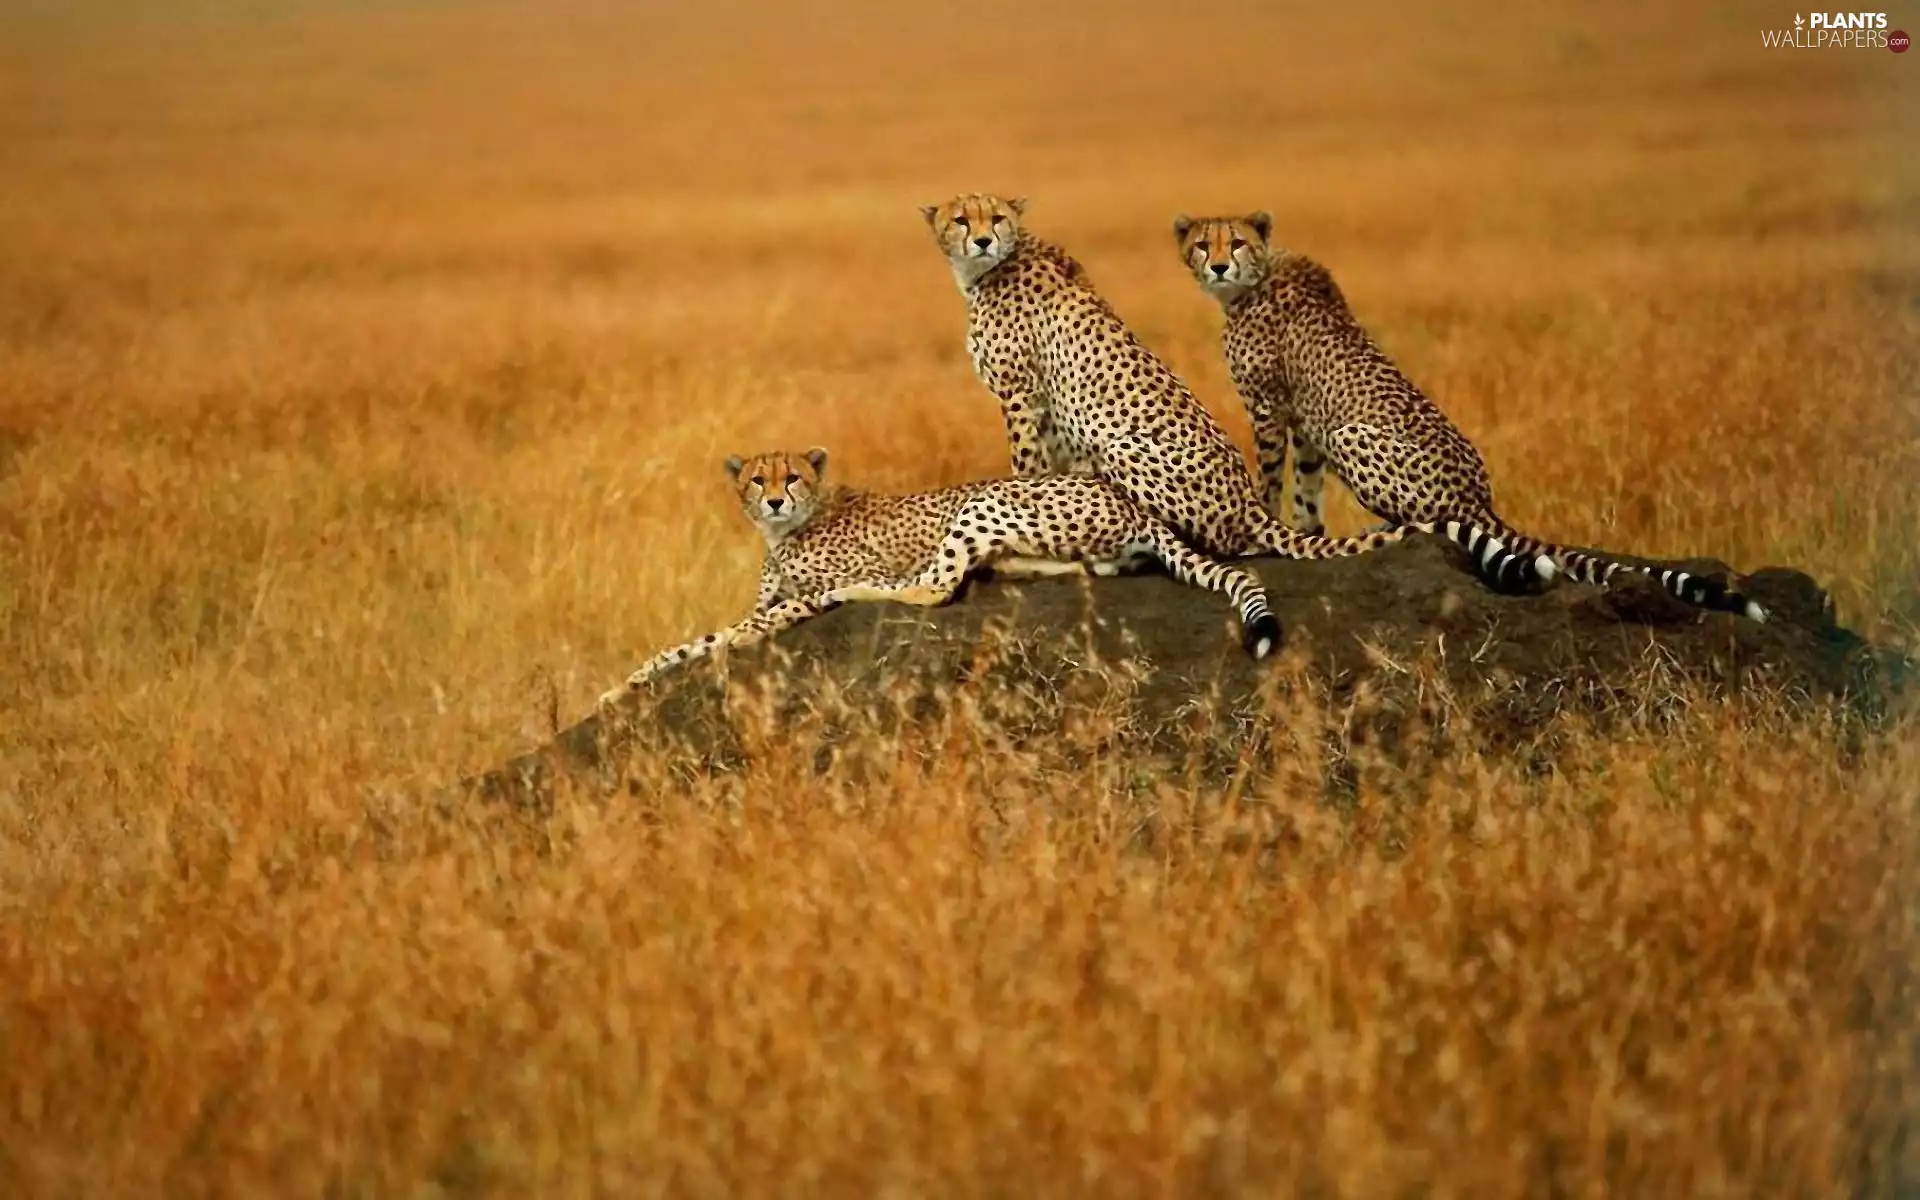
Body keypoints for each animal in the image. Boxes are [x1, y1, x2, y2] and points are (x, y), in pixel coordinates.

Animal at [597, 447, 1283, 710]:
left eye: (792, 476)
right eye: (755, 479)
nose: (772, 501)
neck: (788, 531)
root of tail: (1135, 502)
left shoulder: (801, 597)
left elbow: (734, 632)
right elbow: (689, 643)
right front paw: (622, 687)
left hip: (983, 502)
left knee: (934, 586)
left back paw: (860, 593)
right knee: (1077, 567)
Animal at [917, 193, 1406, 570]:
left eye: (996, 217)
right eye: (961, 219)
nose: (983, 240)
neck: (989, 268)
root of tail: (1249, 502)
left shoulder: (1019, 393)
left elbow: (1024, 468)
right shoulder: (1046, 410)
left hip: (1122, 446)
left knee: (1224, 542)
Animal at [1172, 210, 1767, 622]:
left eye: (1237, 242)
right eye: (1203, 244)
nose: (1219, 264)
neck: (1255, 279)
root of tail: (1481, 499)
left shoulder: (1270, 409)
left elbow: (1271, 482)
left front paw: (1270, 528)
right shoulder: (1305, 422)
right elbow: (1307, 492)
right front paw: (1306, 531)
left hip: (1353, 433)